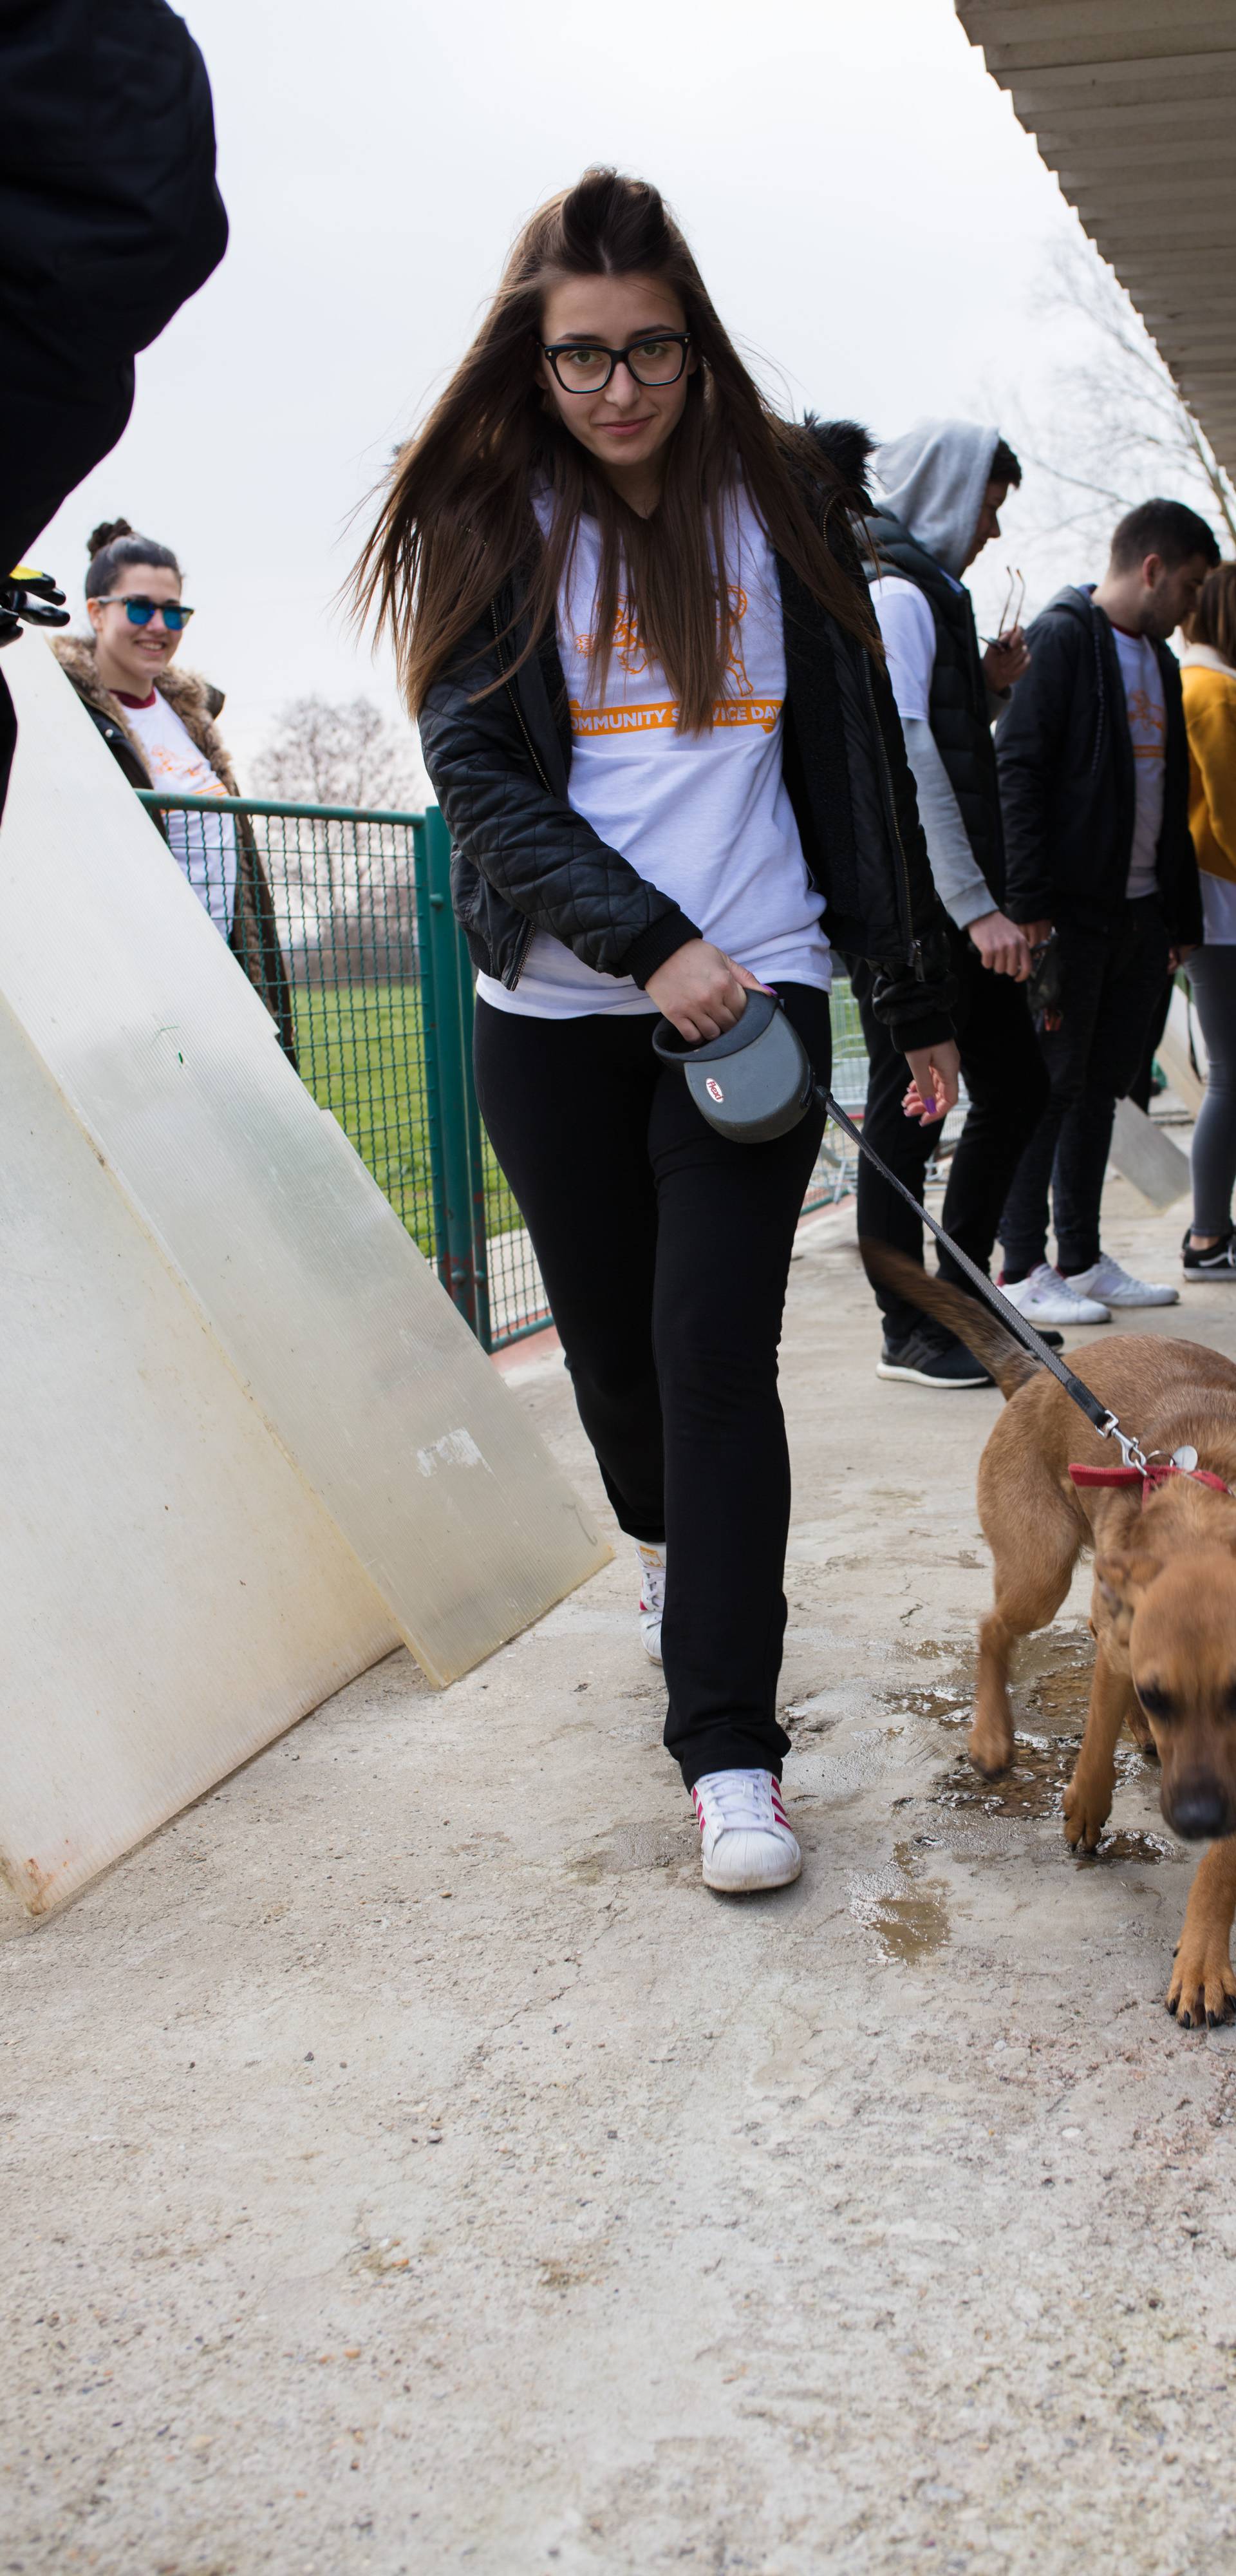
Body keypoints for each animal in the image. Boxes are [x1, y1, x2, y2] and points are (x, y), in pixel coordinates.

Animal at [865, 1247, 1236, 2030]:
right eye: (1163, 1691)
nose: (1194, 1819)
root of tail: (1038, 1374)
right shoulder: (1130, 1659)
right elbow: (1092, 1742)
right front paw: (1087, 1804)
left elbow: (1223, 1862)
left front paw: (1201, 1961)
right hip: (1041, 1572)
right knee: (994, 1630)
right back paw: (992, 1737)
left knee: (1087, 1630)